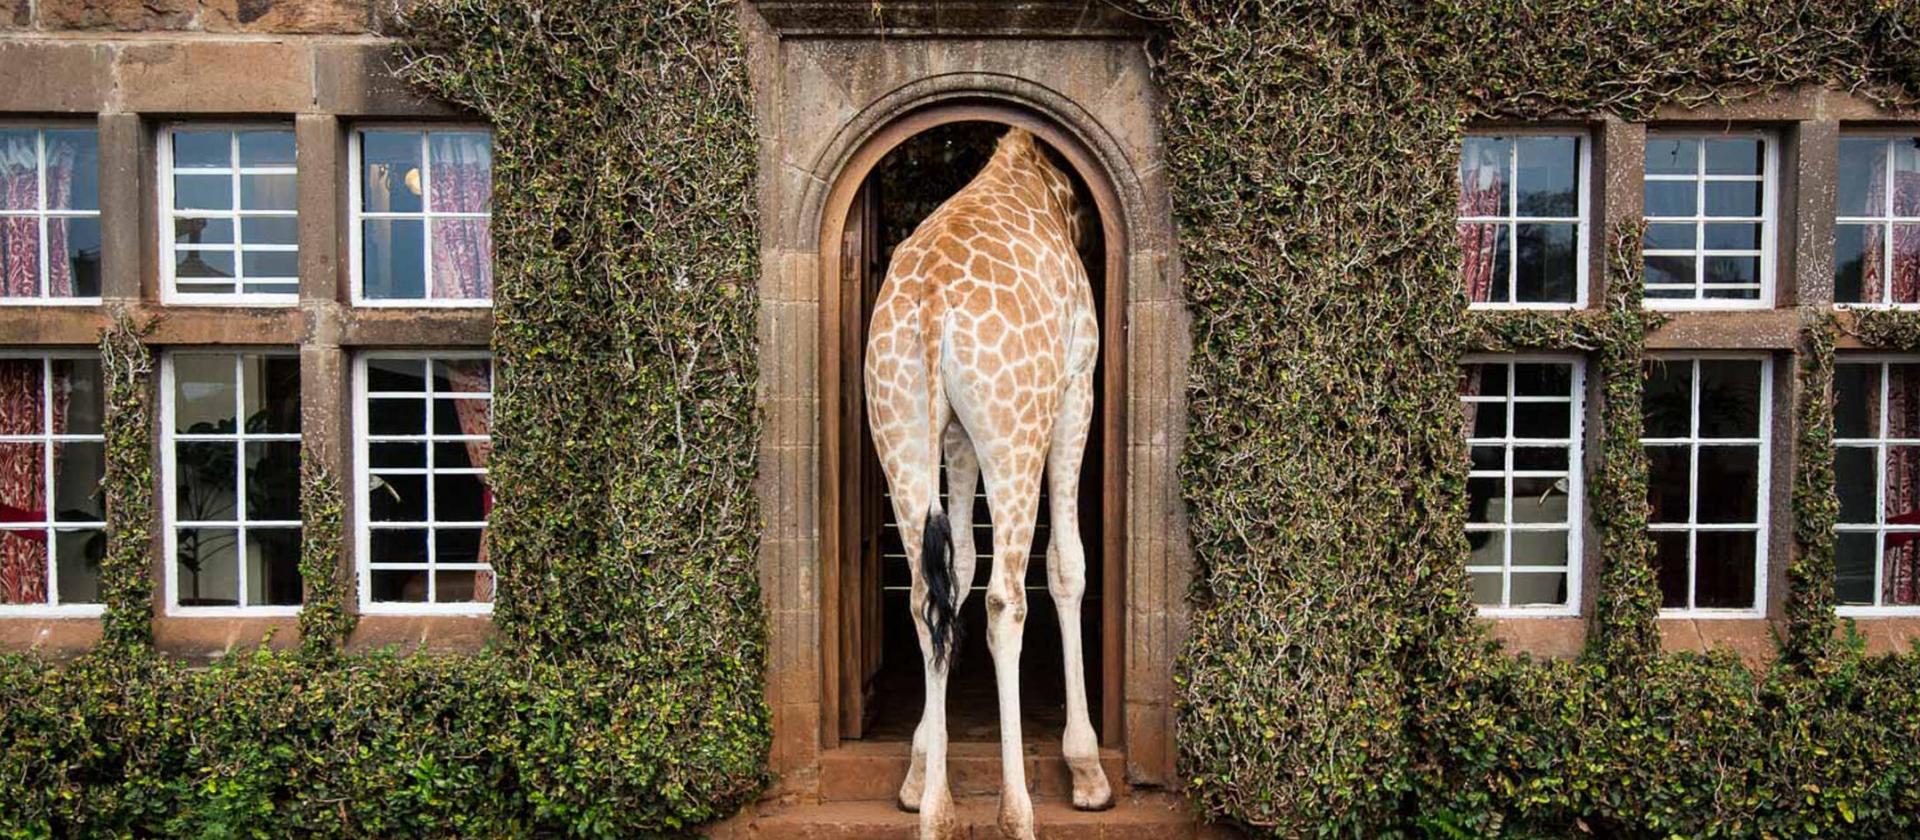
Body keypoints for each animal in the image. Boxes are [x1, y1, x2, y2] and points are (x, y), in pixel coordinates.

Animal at [863, 126, 1111, 840]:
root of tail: (932, 303)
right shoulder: (1077, 384)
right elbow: (1066, 566)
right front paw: (1087, 771)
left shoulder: (954, 434)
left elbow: (960, 566)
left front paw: (921, 768)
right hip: (1017, 424)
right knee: (1007, 598)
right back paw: (1017, 811)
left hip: (898, 419)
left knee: (926, 593)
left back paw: (937, 811)